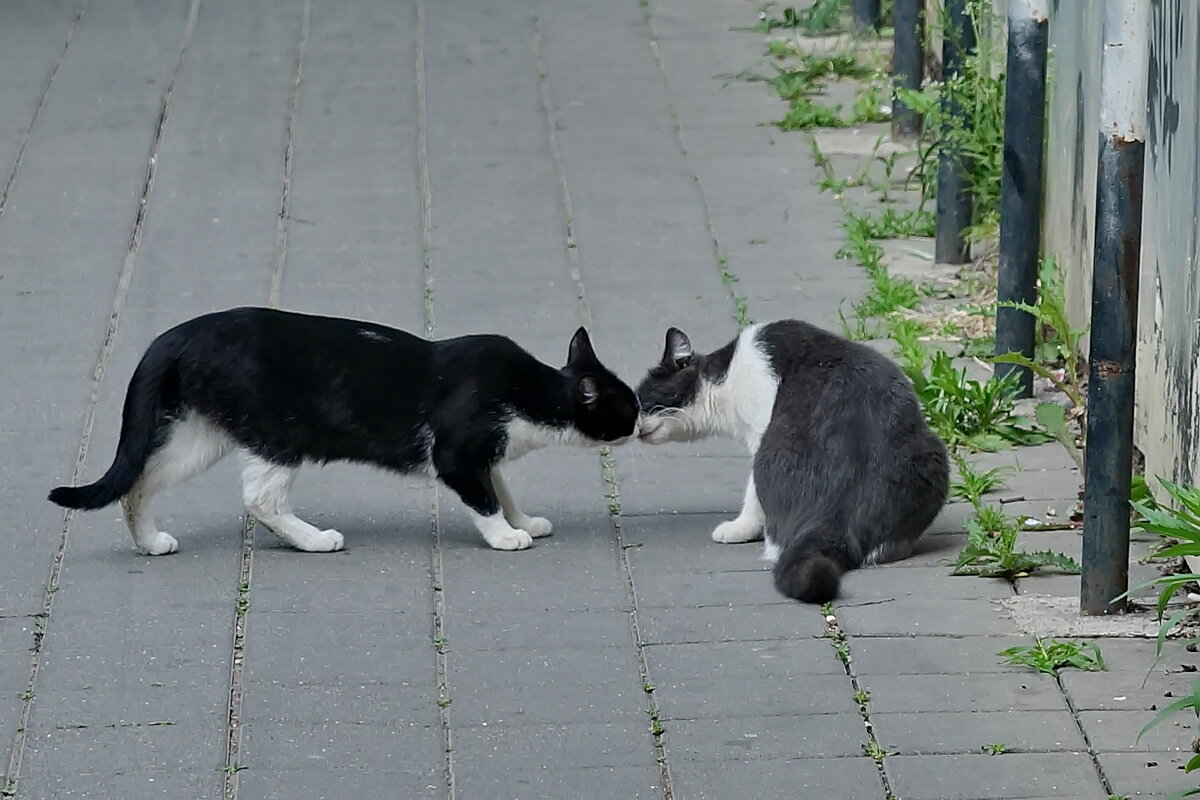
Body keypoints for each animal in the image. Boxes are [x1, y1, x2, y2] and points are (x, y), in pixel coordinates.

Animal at [638, 319, 945, 599]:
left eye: (643, 402)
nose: (634, 427)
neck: (726, 380)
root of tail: (834, 522)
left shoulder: (759, 429)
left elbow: (752, 496)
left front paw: (740, 528)